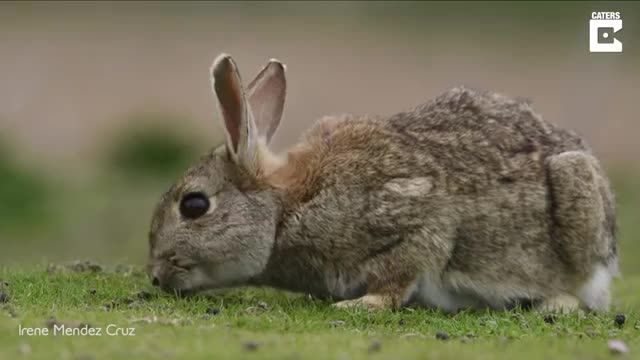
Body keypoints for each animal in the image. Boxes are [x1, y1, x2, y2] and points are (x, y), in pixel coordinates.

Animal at [148, 52, 616, 312]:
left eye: (194, 205)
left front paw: (361, 305)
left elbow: (402, 269)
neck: (285, 208)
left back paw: (554, 304)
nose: (154, 276)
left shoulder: (416, 217)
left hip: (578, 198)